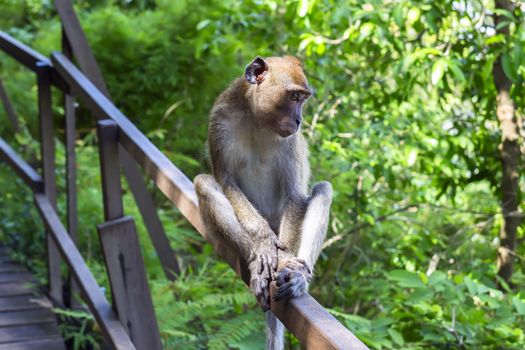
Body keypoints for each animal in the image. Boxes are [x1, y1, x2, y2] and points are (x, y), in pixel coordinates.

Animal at [192, 56, 332, 348]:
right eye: (293, 97)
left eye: (303, 99)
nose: (299, 120)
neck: (258, 121)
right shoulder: (219, 121)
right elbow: (226, 181)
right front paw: (264, 243)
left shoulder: (291, 142)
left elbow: (295, 194)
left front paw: (286, 260)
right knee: (204, 182)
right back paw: (256, 258)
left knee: (323, 189)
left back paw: (296, 274)